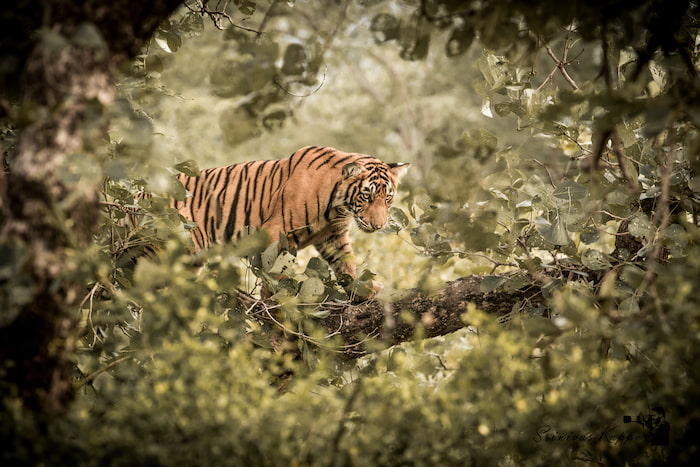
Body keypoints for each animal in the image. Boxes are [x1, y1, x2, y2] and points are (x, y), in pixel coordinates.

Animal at [172, 146, 410, 298]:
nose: (378, 226)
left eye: (387, 198)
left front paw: (363, 291)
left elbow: (346, 265)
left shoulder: (333, 236)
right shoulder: (276, 233)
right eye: (366, 196)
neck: (337, 206)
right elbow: (276, 273)